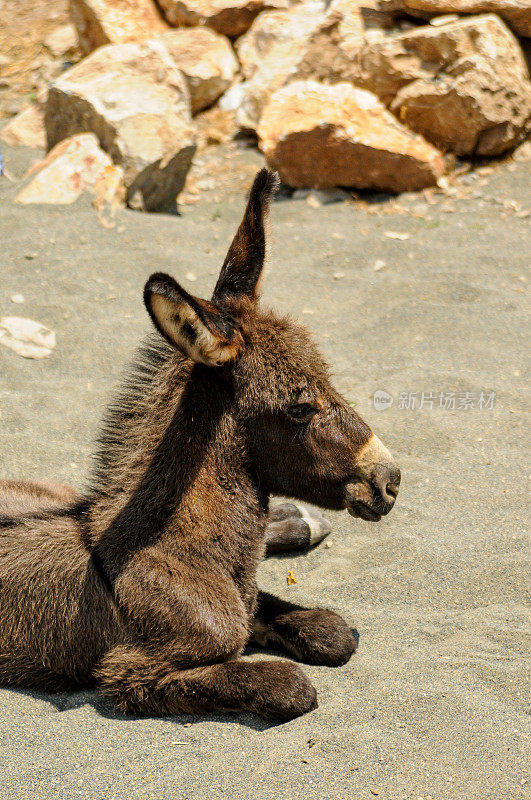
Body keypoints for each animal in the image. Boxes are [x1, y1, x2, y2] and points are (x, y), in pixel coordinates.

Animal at [0, 169, 400, 720]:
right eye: (299, 407)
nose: (389, 480)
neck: (180, 548)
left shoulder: (247, 598)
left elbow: (329, 631)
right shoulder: (130, 674)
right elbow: (289, 685)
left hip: (49, 492)